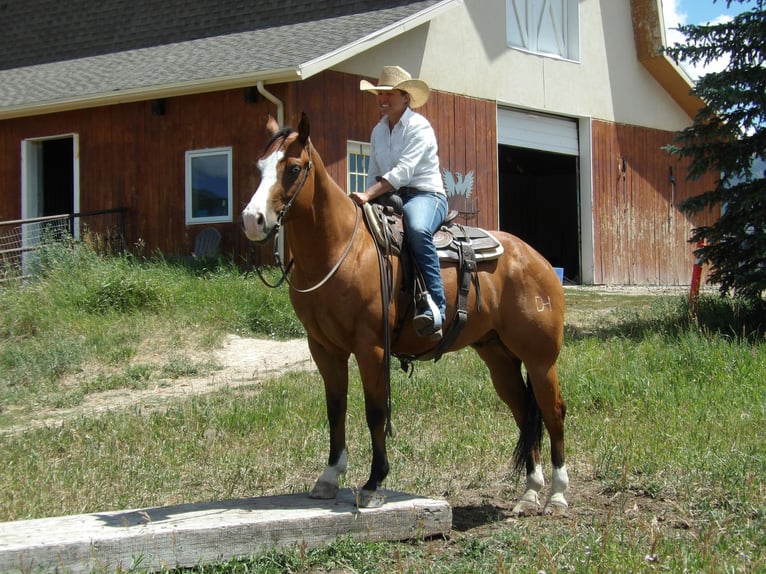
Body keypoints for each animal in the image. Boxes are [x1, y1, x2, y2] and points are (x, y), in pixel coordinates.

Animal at [242, 113, 568, 516]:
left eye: (293, 168)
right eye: (260, 167)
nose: (252, 220)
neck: (342, 248)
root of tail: (536, 259)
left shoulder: (371, 347)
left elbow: (376, 411)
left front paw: (374, 483)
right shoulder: (324, 349)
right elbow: (336, 409)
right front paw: (329, 477)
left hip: (540, 360)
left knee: (553, 412)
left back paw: (557, 495)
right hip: (498, 357)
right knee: (524, 412)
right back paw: (529, 493)